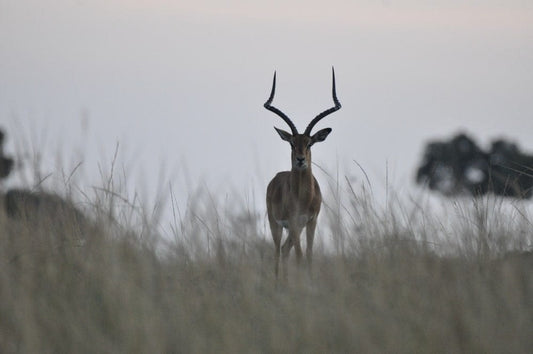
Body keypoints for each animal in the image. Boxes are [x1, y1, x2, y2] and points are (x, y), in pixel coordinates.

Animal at [262, 68, 340, 280]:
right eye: (291, 143)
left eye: (309, 143)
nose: (300, 159)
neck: (304, 196)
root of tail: (275, 178)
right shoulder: (295, 223)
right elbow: (299, 255)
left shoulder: (311, 222)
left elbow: (309, 254)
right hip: (276, 224)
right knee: (277, 251)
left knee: (284, 249)